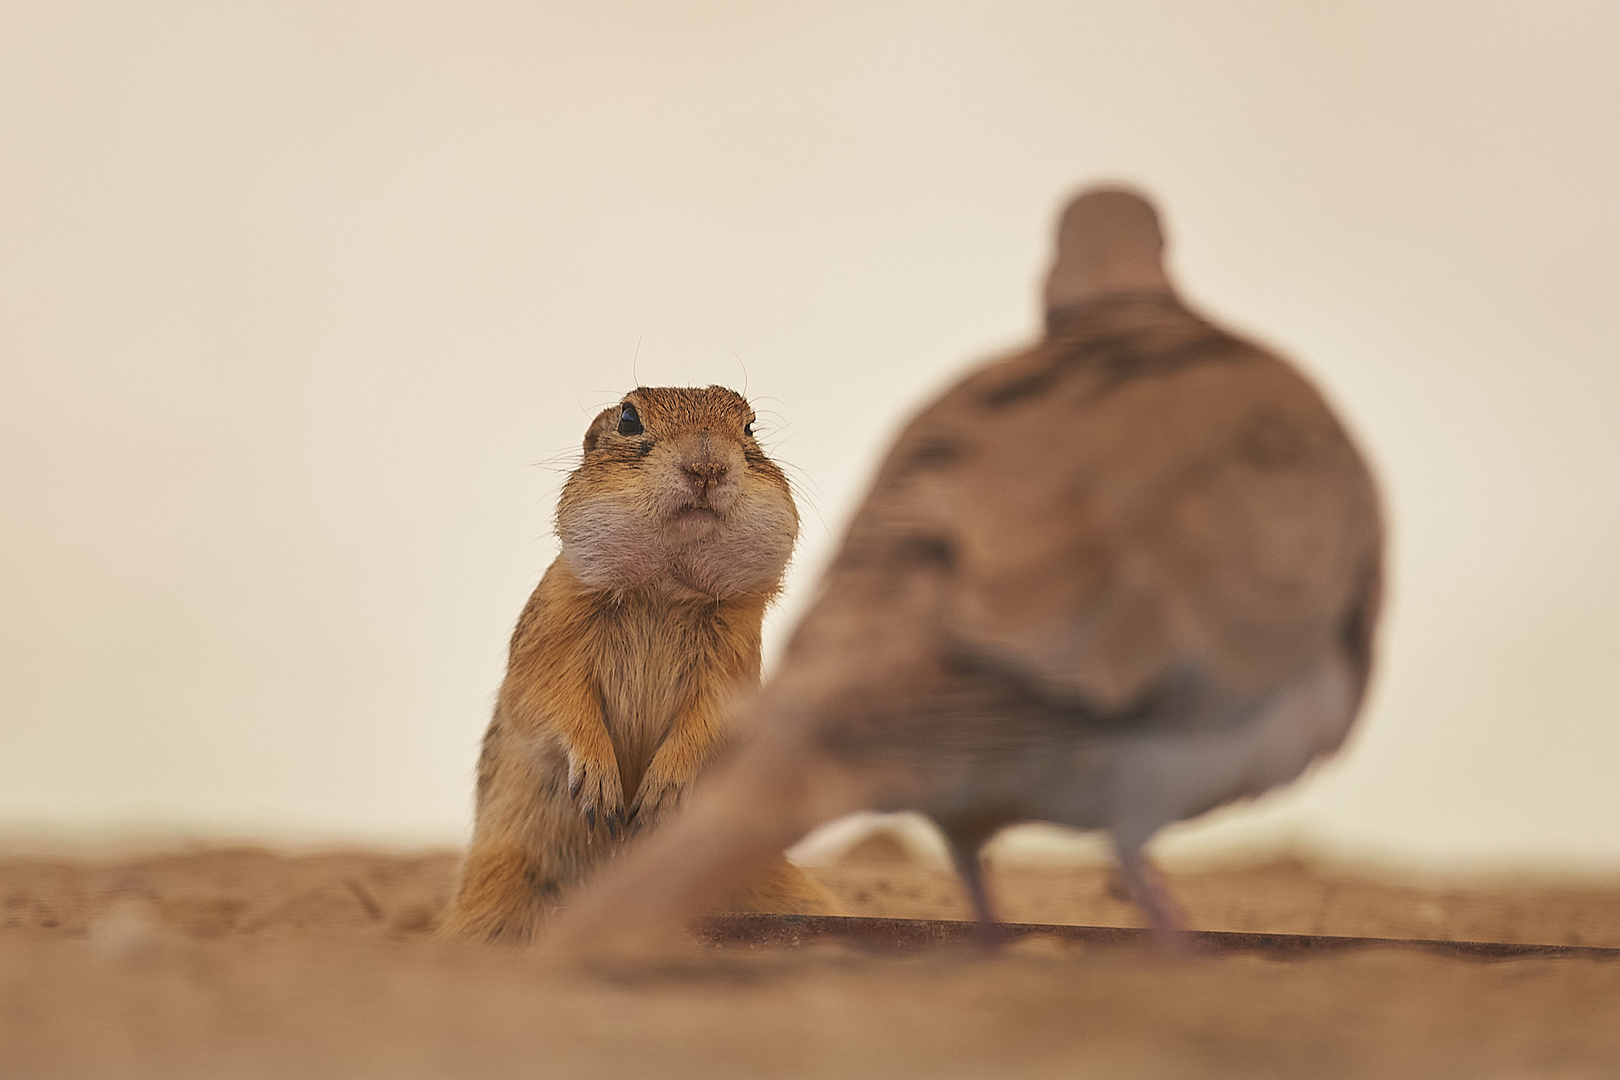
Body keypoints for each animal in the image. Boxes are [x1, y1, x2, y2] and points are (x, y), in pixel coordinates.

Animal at [437, 383, 842, 939]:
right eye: (629, 418)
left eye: (749, 425)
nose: (706, 467)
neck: (664, 588)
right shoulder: (552, 637)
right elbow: (552, 704)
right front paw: (603, 793)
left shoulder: (732, 660)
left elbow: (711, 720)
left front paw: (659, 796)